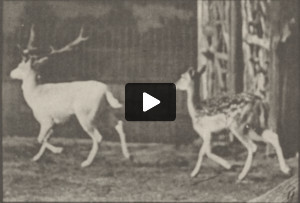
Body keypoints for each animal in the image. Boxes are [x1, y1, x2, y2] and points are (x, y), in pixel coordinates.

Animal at [10, 25, 130, 168]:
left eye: (20, 66)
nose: (11, 73)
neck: (35, 94)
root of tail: (106, 90)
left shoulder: (46, 119)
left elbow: (40, 139)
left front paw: (58, 150)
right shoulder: (54, 123)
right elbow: (46, 138)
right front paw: (36, 158)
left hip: (86, 114)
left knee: (98, 137)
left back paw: (86, 163)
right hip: (105, 111)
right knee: (119, 124)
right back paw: (128, 155)